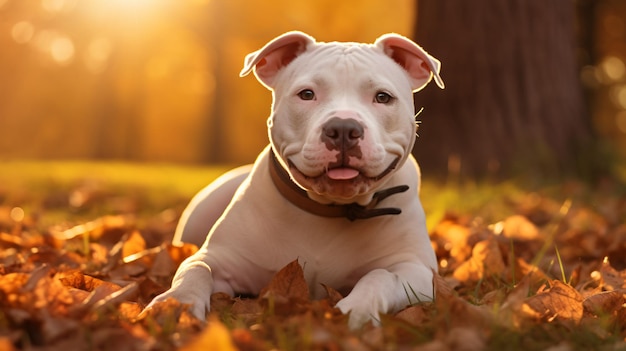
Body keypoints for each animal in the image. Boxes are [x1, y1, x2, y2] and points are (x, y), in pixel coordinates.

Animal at [144, 30, 442, 330]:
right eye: (307, 94)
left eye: (383, 97)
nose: (343, 128)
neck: (329, 209)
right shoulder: (221, 259)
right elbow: (196, 269)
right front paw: (177, 304)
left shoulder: (416, 271)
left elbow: (381, 276)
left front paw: (357, 309)